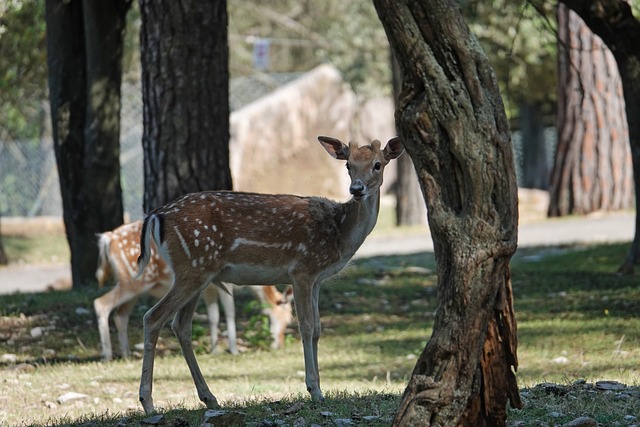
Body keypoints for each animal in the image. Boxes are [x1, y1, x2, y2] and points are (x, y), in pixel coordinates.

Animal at [92, 221, 292, 362]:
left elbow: (213, 316)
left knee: (120, 315)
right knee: (101, 303)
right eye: (288, 318)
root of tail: (107, 239)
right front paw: (233, 350)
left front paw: (215, 349)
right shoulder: (226, 284)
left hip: (134, 287)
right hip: (132, 281)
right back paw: (107, 355)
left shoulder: (210, 287)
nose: (281, 344)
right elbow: (230, 312)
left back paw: (126, 354)